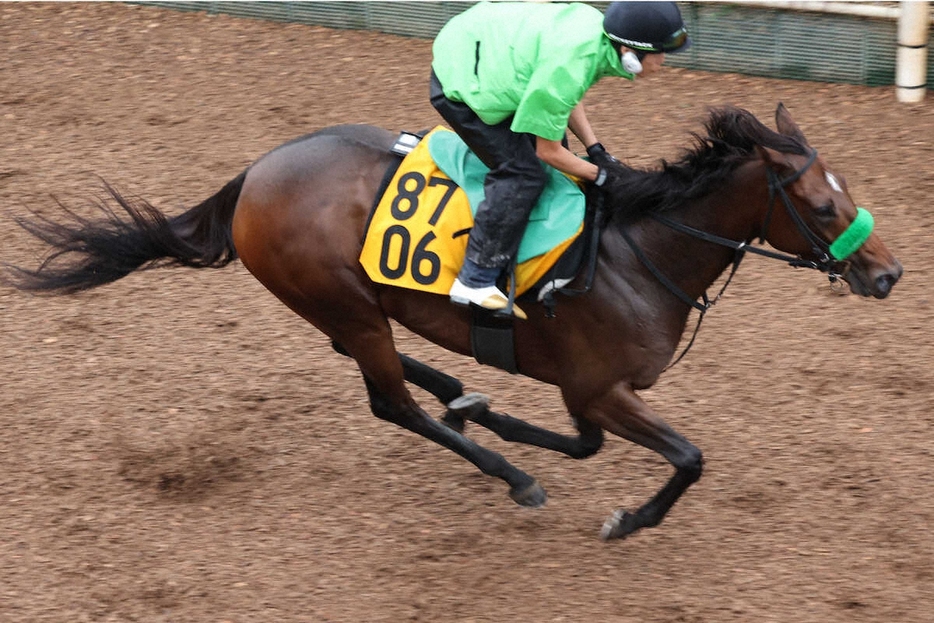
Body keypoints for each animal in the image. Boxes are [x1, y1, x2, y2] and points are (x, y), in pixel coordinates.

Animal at [7, 103, 900, 540]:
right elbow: (686, 456)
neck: (640, 250)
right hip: (344, 300)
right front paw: (624, 519)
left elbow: (586, 441)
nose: (887, 272)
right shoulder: (598, 386)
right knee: (388, 400)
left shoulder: (587, 390)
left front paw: (489, 409)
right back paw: (508, 472)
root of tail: (254, 174)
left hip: (348, 301)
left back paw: (463, 397)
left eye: (848, 189)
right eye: (823, 206)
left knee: (367, 357)